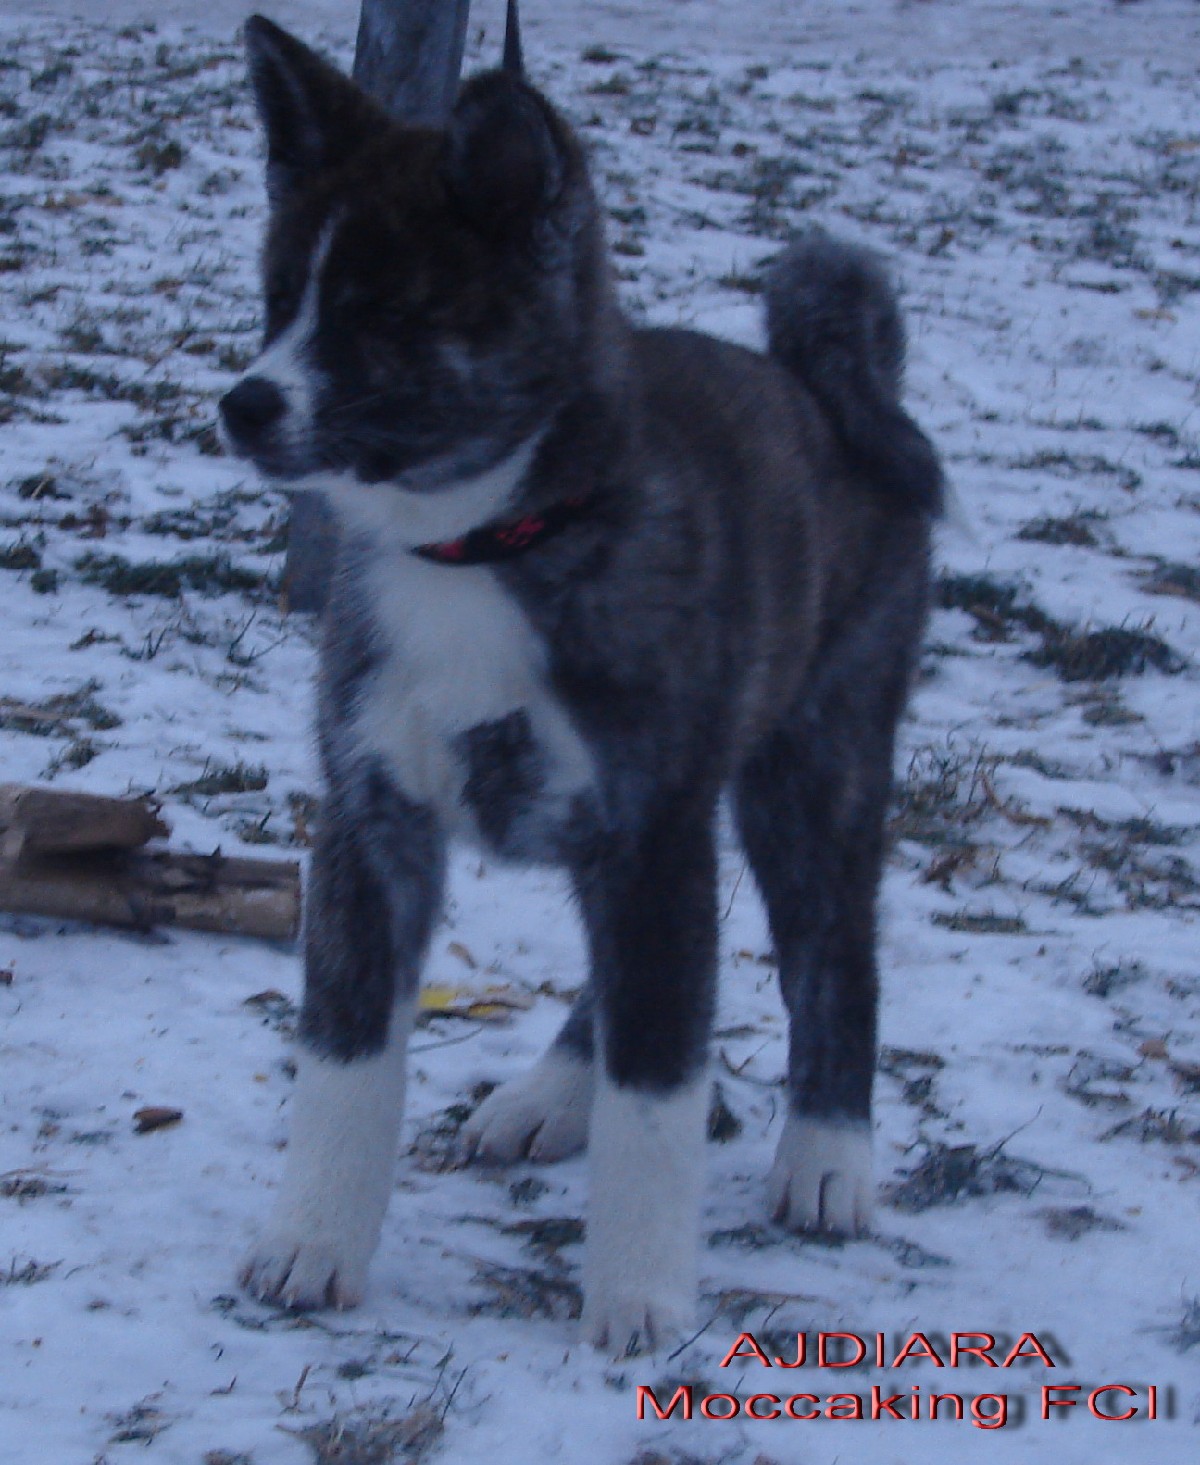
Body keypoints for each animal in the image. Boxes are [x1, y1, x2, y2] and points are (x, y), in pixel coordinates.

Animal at [219, 8, 942, 1353]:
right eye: (281, 298)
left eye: (383, 314)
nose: (242, 404)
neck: (484, 539)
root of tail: (828, 387)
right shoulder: (374, 815)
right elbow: (345, 1057)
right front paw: (310, 1243)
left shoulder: (650, 825)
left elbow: (659, 1087)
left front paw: (641, 1295)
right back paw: (550, 1095)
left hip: (814, 757)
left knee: (832, 948)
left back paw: (828, 1157)